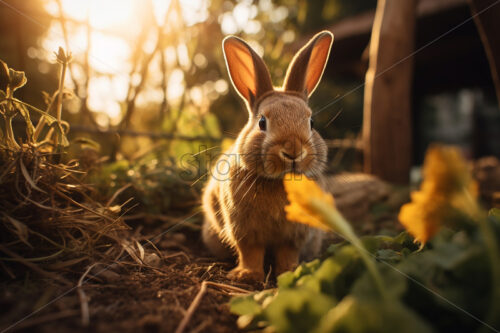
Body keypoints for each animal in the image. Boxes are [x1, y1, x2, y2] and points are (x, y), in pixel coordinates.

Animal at [201, 31, 334, 282]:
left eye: (311, 122)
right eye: (262, 122)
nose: (293, 152)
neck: (279, 182)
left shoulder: (294, 235)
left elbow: (287, 253)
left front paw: (290, 271)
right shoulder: (244, 230)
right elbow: (250, 252)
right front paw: (246, 275)